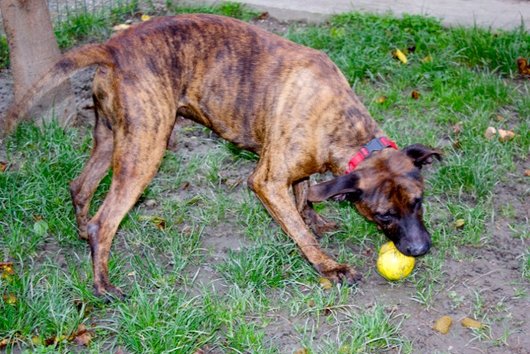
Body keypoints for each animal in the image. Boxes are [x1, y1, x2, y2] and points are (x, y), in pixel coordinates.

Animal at [4, 14, 440, 298]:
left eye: (419, 203)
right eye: (384, 215)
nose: (420, 250)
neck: (345, 128)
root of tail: (112, 45)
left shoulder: (297, 170)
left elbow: (304, 196)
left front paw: (314, 220)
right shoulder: (267, 180)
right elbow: (297, 229)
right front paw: (328, 266)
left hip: (112, 137)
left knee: (80, 187)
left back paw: (83, 237)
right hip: (146, 147)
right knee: (105, 220)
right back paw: (103, 285)